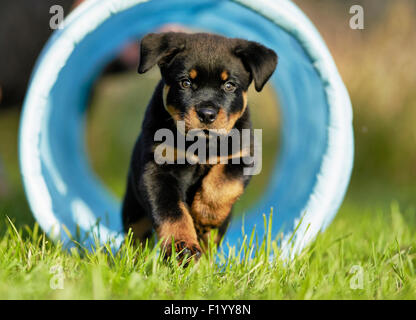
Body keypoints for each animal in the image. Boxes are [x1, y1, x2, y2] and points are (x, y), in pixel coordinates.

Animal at [121, 31, 276, 260]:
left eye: (229, 85)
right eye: (185, 82)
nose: (207, 114)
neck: (200, 145)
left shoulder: (242, 155)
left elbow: (223, 184)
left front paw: (204, 217)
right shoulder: (156, 170)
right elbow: (172, 211)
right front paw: (182, 247)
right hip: (133, 208)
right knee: (136, 235)